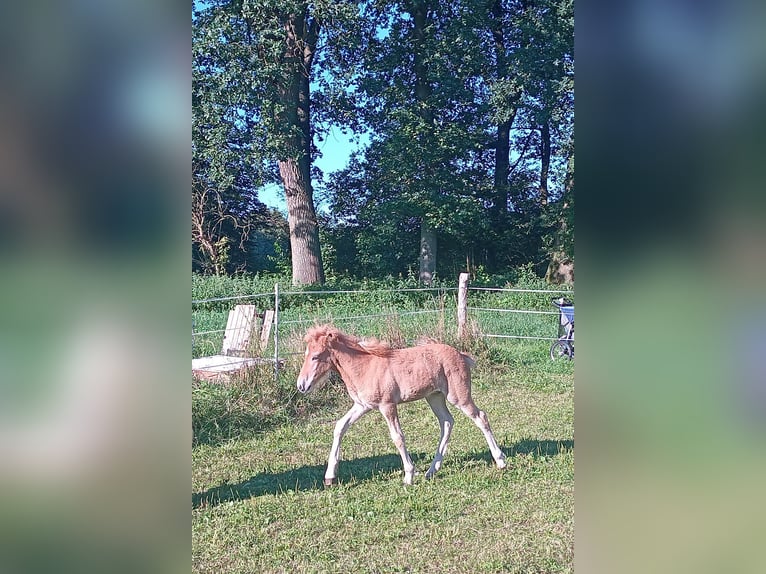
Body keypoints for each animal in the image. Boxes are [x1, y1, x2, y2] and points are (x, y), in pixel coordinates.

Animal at [296, 324, 508, 486]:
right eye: (306, 354)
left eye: (315, 356)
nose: (301, 385)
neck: (365, 366)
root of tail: (461, 354)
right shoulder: (362, 405)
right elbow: (340, 427)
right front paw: (330, 476)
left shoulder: (387, 405)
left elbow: (397, 437)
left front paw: (408, 476)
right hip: (434, 397)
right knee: (447, 422)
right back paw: (432, 470)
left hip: (458, 396)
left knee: (480, 417)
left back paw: (500, 461)